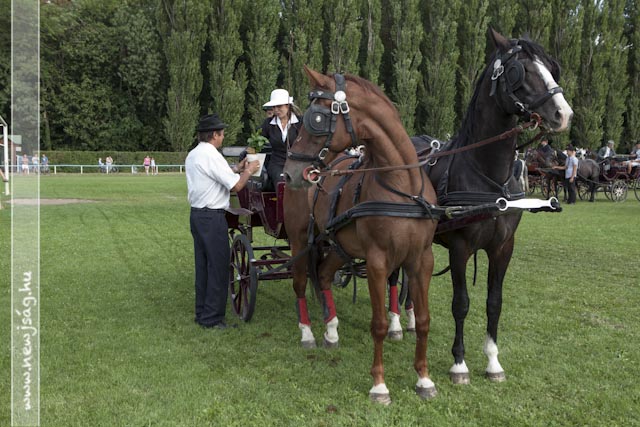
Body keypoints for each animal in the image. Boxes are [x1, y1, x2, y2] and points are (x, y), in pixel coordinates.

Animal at [284, 66, 440, 404]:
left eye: (316, 118)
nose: (290, 172)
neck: (403, 187)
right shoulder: (378, 260)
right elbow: (378, 324)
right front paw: (379, 385)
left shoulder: (422, 259)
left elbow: (423, 320)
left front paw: (424, 379)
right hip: (301, 240)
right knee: (301, 282)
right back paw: (307, 333)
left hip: (338, 245)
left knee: (324, 275)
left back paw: (331, 330)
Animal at [413, 28, 573, 384]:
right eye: (520, 71)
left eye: (552, 69)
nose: (564, 114)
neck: (488, 176)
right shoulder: (460, 248)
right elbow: (461, 303)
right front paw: (459, 364)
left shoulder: (503, 247)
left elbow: (494, 303)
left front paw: (493, 361)